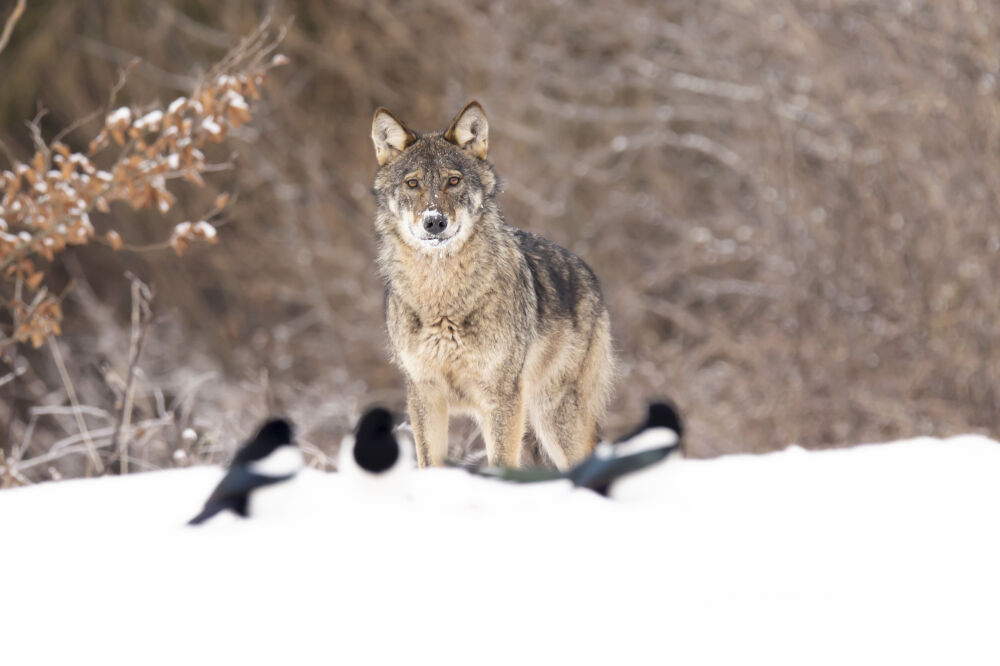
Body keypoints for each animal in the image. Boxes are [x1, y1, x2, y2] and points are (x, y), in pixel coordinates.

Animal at [370, 101, 612, 470]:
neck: (442, 298)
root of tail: (589, 273)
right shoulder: (425, 394)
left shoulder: (502, 397)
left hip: (554, 418)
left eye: (453, 181)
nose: (434, 222)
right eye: (412, 184)